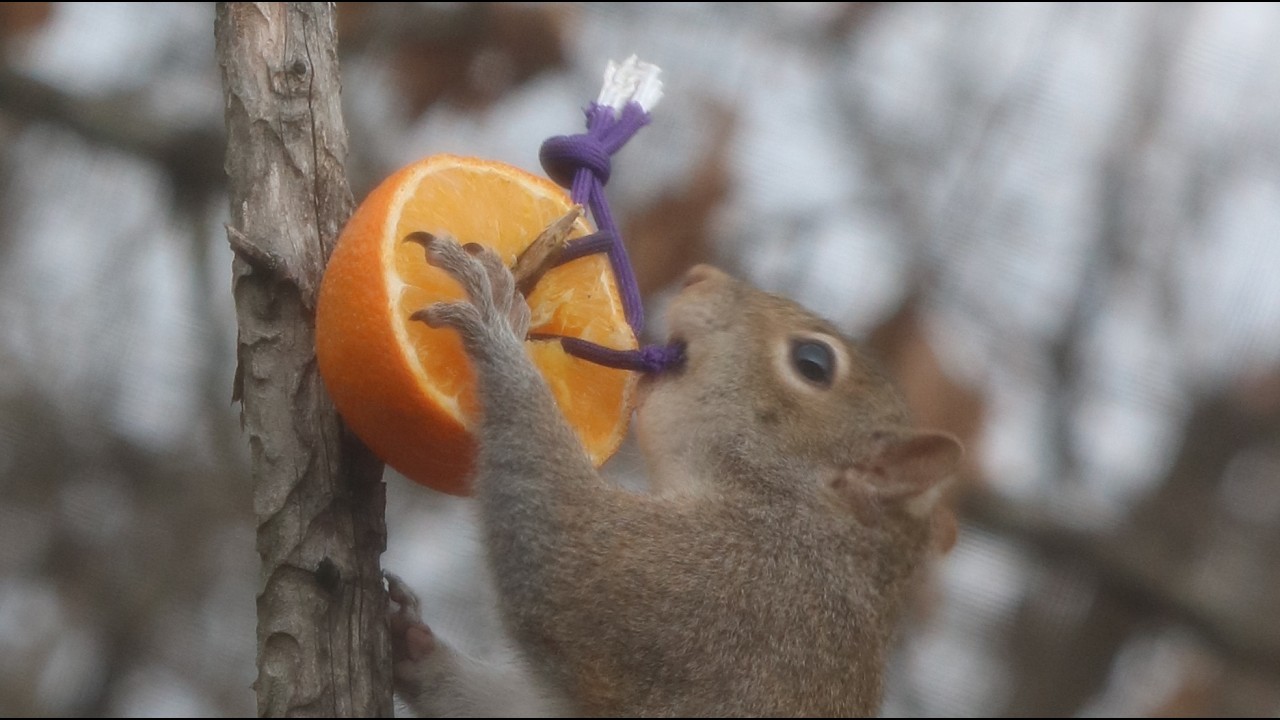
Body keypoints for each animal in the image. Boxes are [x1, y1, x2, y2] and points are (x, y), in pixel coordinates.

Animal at [387, 236, 963, 717]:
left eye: (814, 362)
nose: (699, 276)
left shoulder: (724, 588)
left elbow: (561, 549)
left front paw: (496, 318)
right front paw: (412, 644)